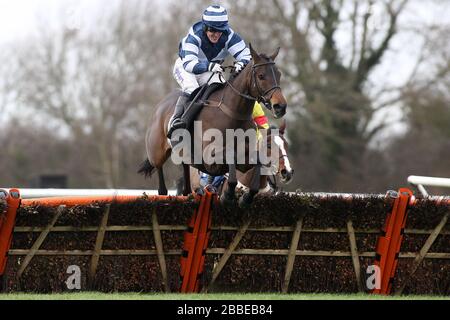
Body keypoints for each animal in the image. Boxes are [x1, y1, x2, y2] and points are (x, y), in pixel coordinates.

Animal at [137, 44, 288, 208]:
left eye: (279, 74)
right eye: (261, 76)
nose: (280, 106)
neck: (233, 113)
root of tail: (159, 107)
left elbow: (257, 162)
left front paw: (246, 198)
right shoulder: (209, 158)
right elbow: (231, 156)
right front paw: (227, 195)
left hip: (184, 159)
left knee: (186, 188)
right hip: (157, 155)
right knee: (161, 187)